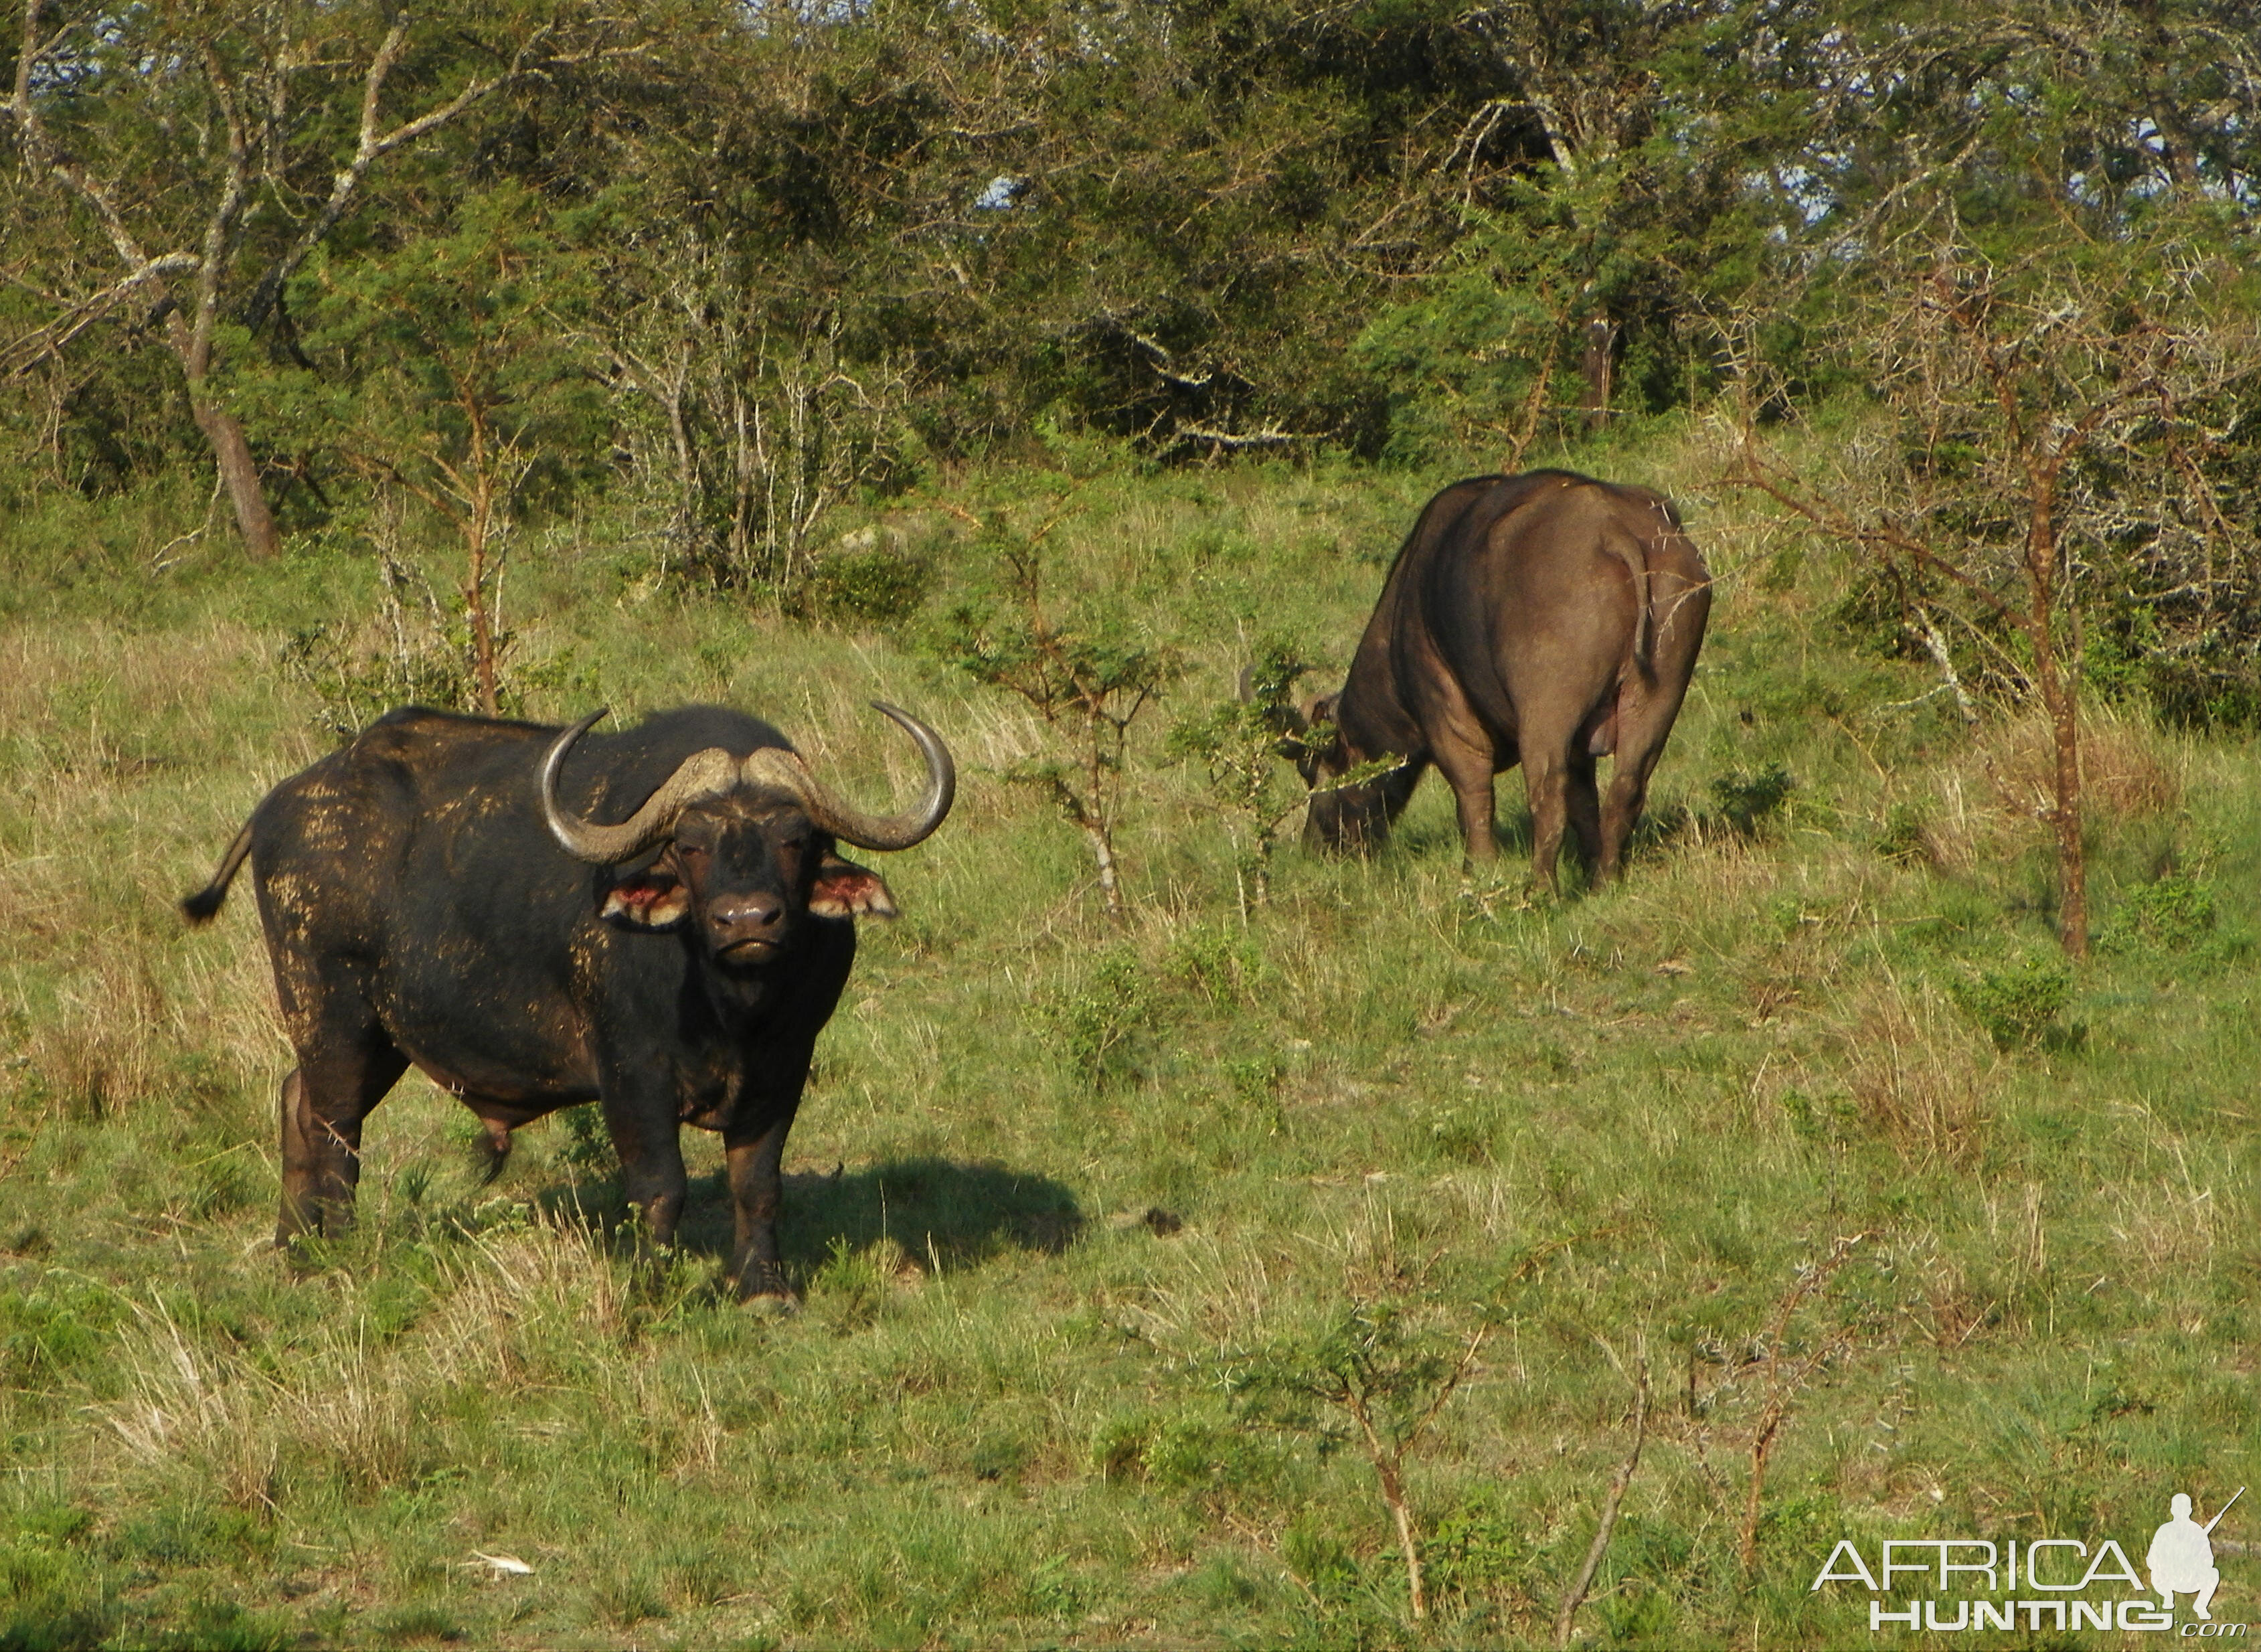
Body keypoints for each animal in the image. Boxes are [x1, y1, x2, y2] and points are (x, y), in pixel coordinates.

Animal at [181, 695, 949, 1301]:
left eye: (794, 838)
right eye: (690, 844)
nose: (747, 921)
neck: (732, 1008)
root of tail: (281, 806)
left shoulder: (786, 1064)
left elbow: (758, 1181)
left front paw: (764, 1290)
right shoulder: (631, 1069)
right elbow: (660, 1183)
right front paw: (651, 1288)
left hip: (380, 1033)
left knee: (298, 1101)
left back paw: (294, 1248)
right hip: (330, 1009)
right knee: (335, 1130)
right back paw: (337, 1251)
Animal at [1284, 472, 1700, 890]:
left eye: (1313, 774)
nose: (1316, 847)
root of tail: (1612, 528)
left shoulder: (1449, 718)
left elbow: (1473, 797)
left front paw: (1478, 869)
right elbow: (1585, 803)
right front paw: (1589, 864)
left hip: (1547, 710)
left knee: (1547, 794)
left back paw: (1541, 888)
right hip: (1657, 697)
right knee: (1626, 789)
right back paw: (1604, 882)